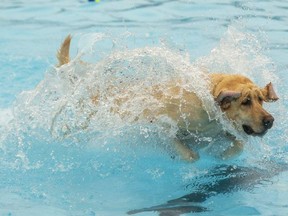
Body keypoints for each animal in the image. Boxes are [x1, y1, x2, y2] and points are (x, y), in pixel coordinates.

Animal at [56, 35, 280, 161]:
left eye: (261, 100)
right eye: (246, 102)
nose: (270, 120)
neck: (208, 102)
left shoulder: (223, 129)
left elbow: (238, 144)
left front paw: (224, 156)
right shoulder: (160, 125)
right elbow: (186, 153)